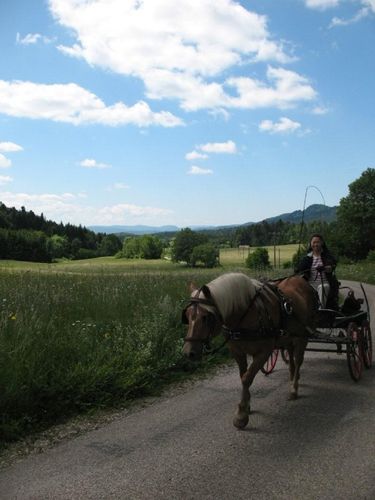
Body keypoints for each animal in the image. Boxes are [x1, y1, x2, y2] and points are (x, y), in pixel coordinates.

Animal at [182, 272, 318, 428]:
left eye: (206, 317)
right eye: (187, 316)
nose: (188, 353)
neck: (246, 314)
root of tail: (303, 281)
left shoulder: (264, 352)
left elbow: (247, 378)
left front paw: (241, 415)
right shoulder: (237, 352)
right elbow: (243, 376)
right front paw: (246, 406)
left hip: (303, 336)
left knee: (299, 359)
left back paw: (294, 388)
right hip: (289, 337)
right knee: (291, 357)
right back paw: (292, 378)